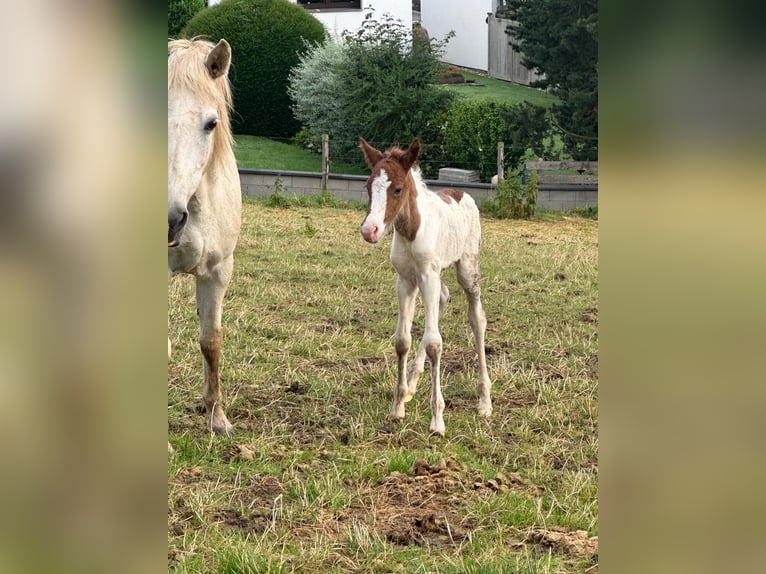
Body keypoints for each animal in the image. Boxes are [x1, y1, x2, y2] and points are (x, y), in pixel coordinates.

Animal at [360, 138, 492, 436]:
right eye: (368, 186)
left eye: (397, 188)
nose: (369, 230)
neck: (410, 230)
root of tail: (462, 193)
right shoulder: (406, 280)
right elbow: (402, 340)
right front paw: (398, 407)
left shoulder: (428, 275)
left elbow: (434, 343)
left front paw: (437, 421)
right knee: (443, 298)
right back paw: (411, 384)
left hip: (467, 270)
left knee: (477, 319)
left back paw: (484, 401)